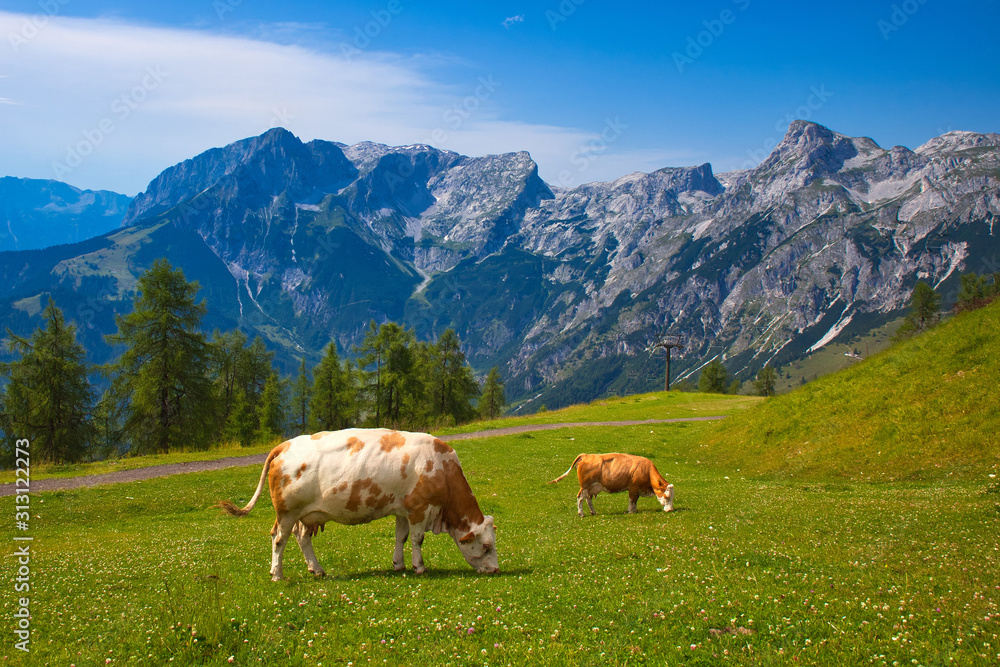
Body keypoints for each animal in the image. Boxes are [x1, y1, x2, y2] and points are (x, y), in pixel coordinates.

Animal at [219, 428, 500, 580]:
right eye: (486, 546)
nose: (496, 570)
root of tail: (284, 445)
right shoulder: (419, 509)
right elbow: (417, 540)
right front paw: (419, 567)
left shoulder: (402, 509)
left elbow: (401, 537)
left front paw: (398, 564)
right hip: (287, 512)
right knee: (279, 540)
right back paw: (277, 574)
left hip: (306, 514)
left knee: (302, 538)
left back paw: (316, 569)